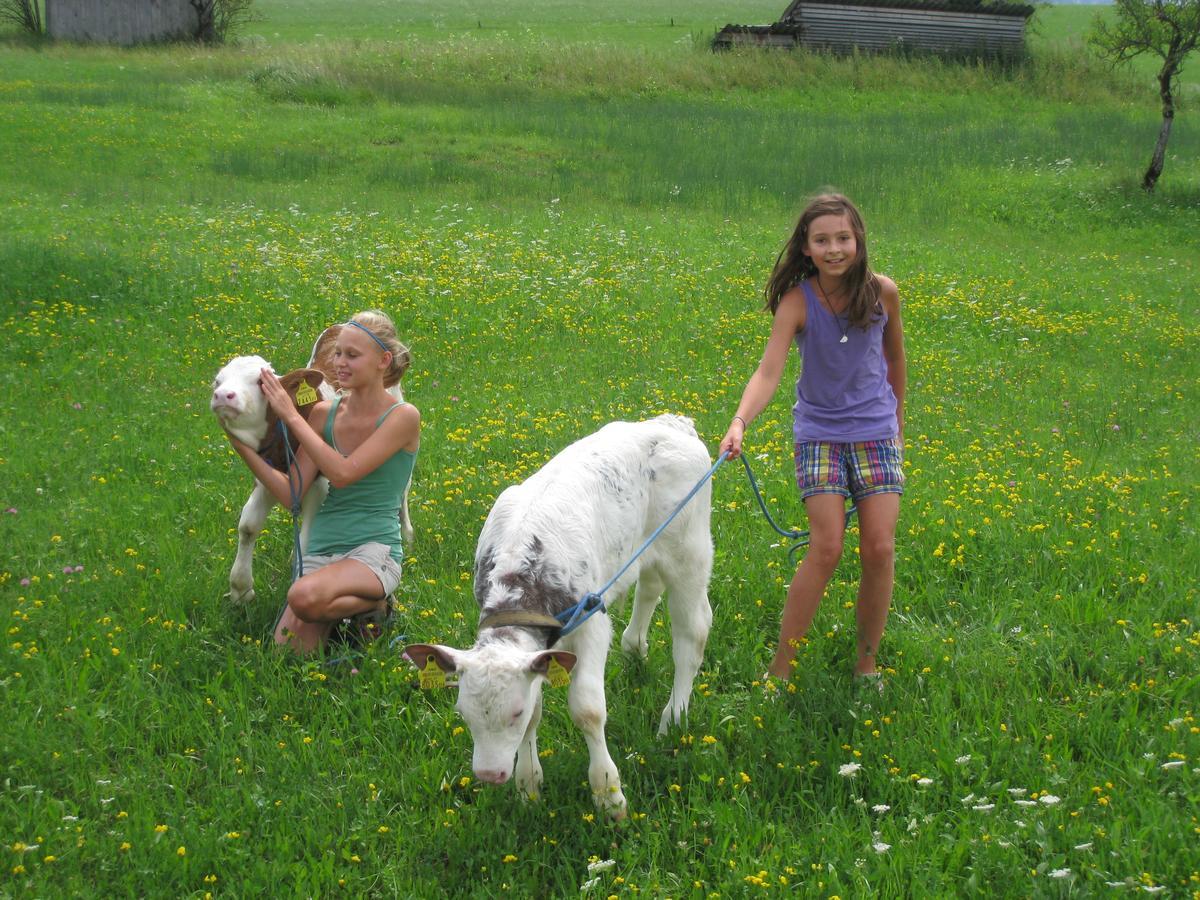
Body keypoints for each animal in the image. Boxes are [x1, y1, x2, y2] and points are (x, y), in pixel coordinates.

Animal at [408, 417, 715, 825]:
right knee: (649, 587)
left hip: (689, 551)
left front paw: (608, 795)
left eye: (514, 713)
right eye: (464, 713)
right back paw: (635, 650)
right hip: (642, 550)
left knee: (691, 635)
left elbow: (587, 709)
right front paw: (528, 786)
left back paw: (674, 719)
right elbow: (538, 711)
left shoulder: (592, 623)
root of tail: (669, 422)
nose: (489, 775)